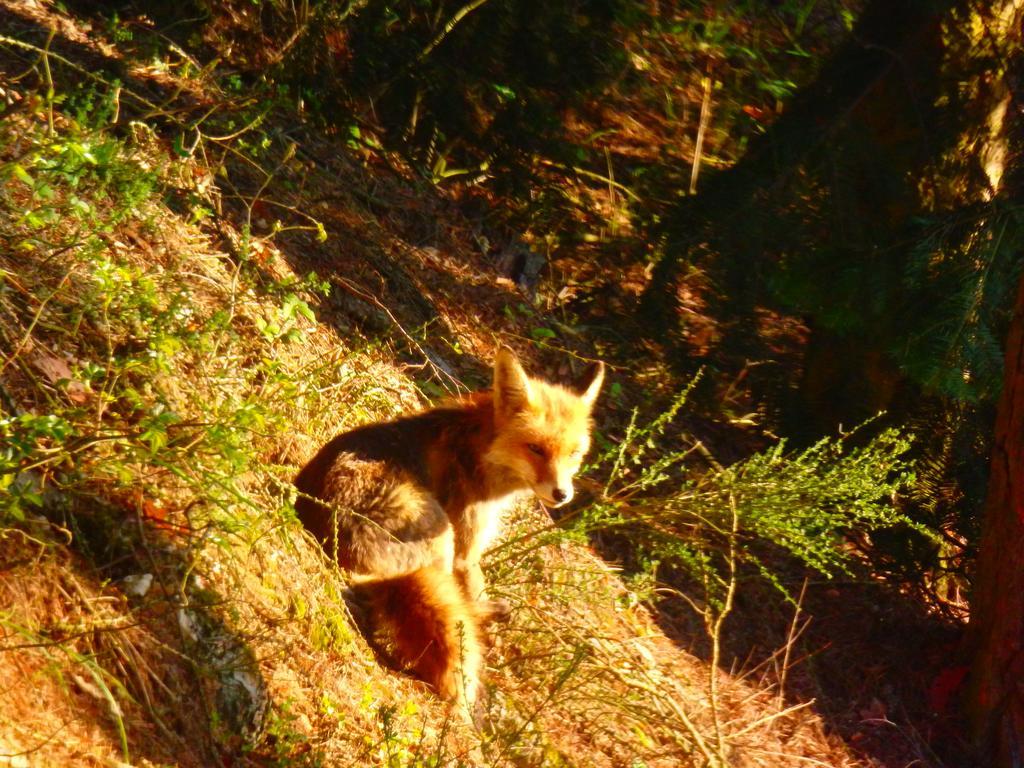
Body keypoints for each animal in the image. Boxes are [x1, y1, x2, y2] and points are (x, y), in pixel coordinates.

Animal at [292, 348, 602, 716]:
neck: (480, 450)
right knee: (454, 607)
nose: (562, 494)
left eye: (574, 454)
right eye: (536, 449)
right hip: (440, 532)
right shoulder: (467, 548)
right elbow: (472, 591)